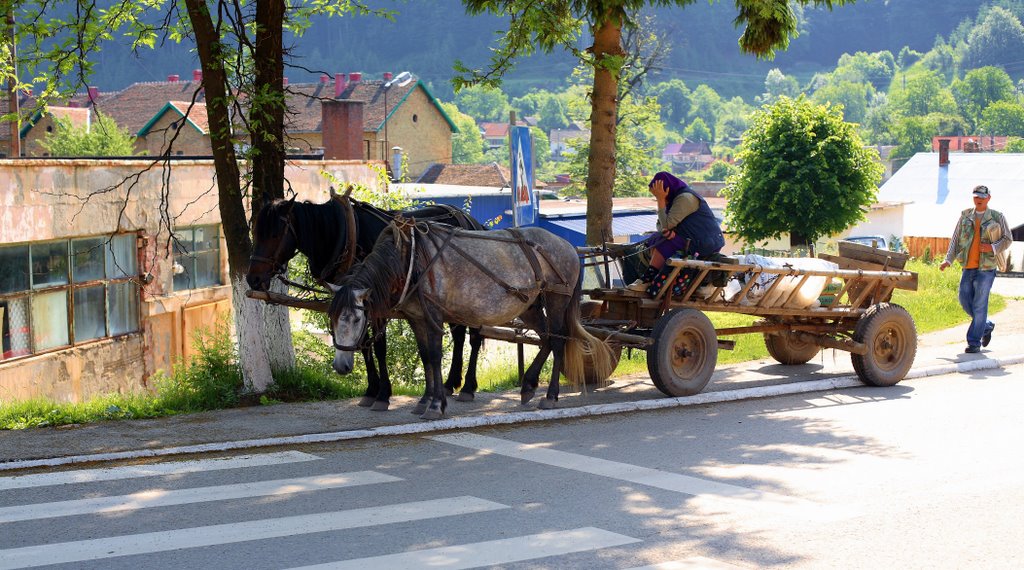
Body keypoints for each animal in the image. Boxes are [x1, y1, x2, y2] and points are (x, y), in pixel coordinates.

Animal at [247, 190, 487, 409]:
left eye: (275, 234)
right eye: (256, 232)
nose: (253, 279)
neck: (342, 234)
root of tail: (472, 221)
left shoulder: (376, 302)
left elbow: (379, 345)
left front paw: (383, 395)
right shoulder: (349, 301)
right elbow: (361, 344)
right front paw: (371, 390)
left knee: (473, 337)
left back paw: (467, 387)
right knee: (458, 334)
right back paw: (450, 383)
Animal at [331, 217, 610, 417]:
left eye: (356, 320)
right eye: (332, 322)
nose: (340, 366)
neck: (409, 258)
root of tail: (568, 245)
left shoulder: (433, 316)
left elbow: (434, 357)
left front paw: (436, 405)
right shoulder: (416, 317)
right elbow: (425, 357)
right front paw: (426, 400)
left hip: (556, 300)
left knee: (558, 341)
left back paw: (550, 396)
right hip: (529, 306)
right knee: (545, 339)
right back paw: (528, 385)